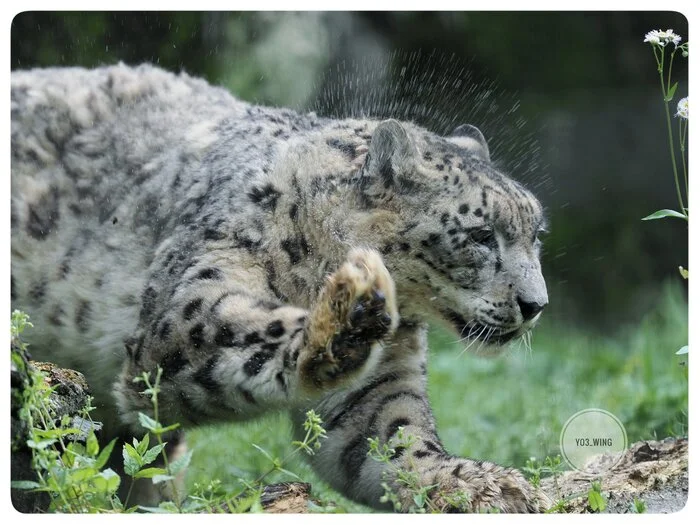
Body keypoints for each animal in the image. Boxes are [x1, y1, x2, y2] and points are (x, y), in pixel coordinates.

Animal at [8, 64, 548, 512]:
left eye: (536, 233)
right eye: (480, 235)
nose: (535, 304)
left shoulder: (380, 378)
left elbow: (395, 436)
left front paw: (487, 485)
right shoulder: (188, 306)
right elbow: (236, 330)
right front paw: (340, 324)